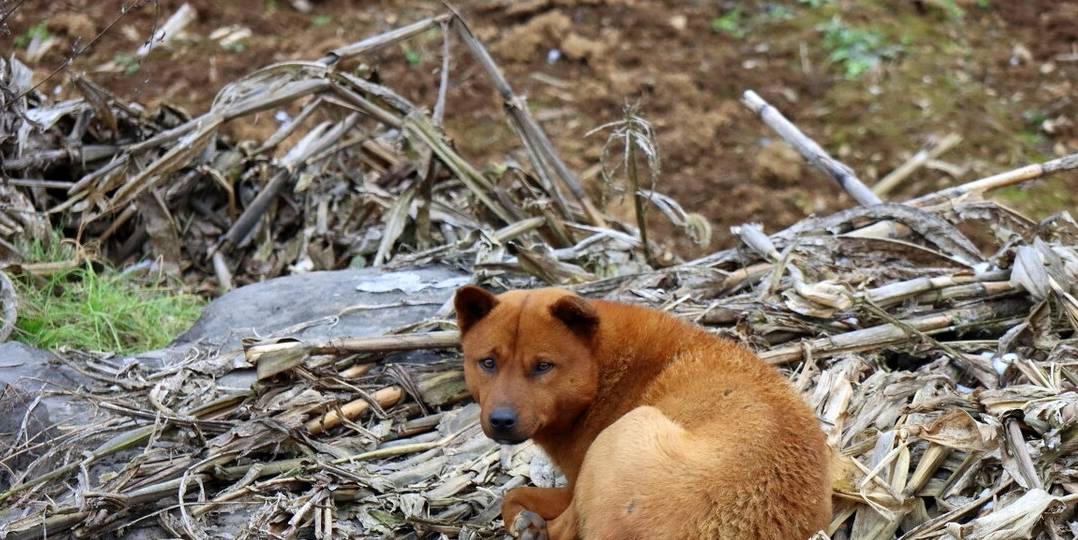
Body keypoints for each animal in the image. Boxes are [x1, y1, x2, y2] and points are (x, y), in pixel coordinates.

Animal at [454, 284, 832, 536]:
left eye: (543, 366)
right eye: (487, 362)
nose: (501, 421)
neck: (604, 367)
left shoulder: (576, 483)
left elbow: (514, 494)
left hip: (622, 434)